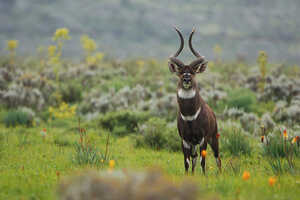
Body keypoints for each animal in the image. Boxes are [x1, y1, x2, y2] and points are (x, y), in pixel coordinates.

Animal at [168, 27, 221, 174]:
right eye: (181, 72)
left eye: (193, 72)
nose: (186, 79)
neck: (190, 116)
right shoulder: (185, 140)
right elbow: (186, 162)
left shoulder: (203, 139)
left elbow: (203, 161)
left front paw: (204, 176)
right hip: (193, 144)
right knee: (194, 158)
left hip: (213, 138)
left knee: (217, 157)